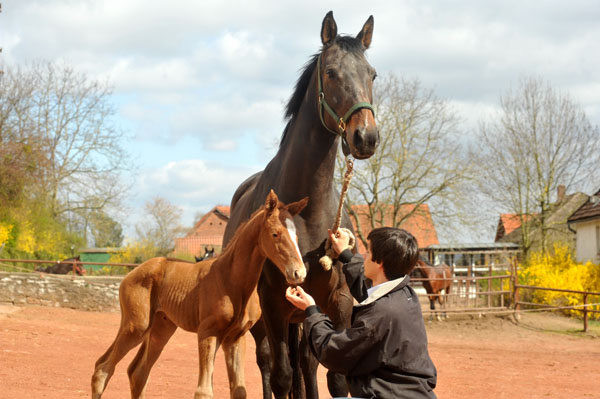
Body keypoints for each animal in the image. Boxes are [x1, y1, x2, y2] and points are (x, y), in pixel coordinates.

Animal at [94, 191, 310, 399]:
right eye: (275, 234)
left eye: (297, 237)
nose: (298, 273)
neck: (231, 278)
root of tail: (130, 274)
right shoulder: (208, 332)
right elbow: (203, 392)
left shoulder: (235, 338)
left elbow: (239, 391)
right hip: (136, 326)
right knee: (102, 369)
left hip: (160, 329)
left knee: (137, 373)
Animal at [223, 10, 378, 398]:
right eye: (331, 72)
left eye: (372, 74)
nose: (365, 137)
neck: (306, 212)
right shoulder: (274, 305)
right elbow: (281, 375)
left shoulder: (338, 302)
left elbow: (335, 375)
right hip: (261, 319)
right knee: (268, 363)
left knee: (306, 364)